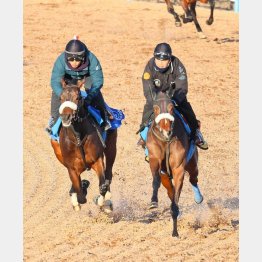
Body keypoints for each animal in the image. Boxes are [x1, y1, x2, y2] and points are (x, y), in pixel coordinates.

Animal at [50, 78, 117, 213]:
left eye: (78, 97)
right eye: (61, 97)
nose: (66, 117)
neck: (78, 137)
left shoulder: (97, 160)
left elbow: (102, 186)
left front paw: (100, 201)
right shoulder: (71, 168)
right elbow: (81, 197)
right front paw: (82, 187)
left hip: (112, 147)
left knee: (108, 174)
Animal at [146, 92, 204, 237]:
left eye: (171, 107)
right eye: (155, 108)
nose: (166, 131)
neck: (166, 141)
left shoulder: (178, 169)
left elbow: (175, 201)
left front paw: (175, 232)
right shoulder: (154, 160)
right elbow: (156, 181)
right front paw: (153, 202)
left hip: (193, 163)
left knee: (193, 179)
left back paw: (198, 198)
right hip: (166, 176)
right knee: (170, 190)